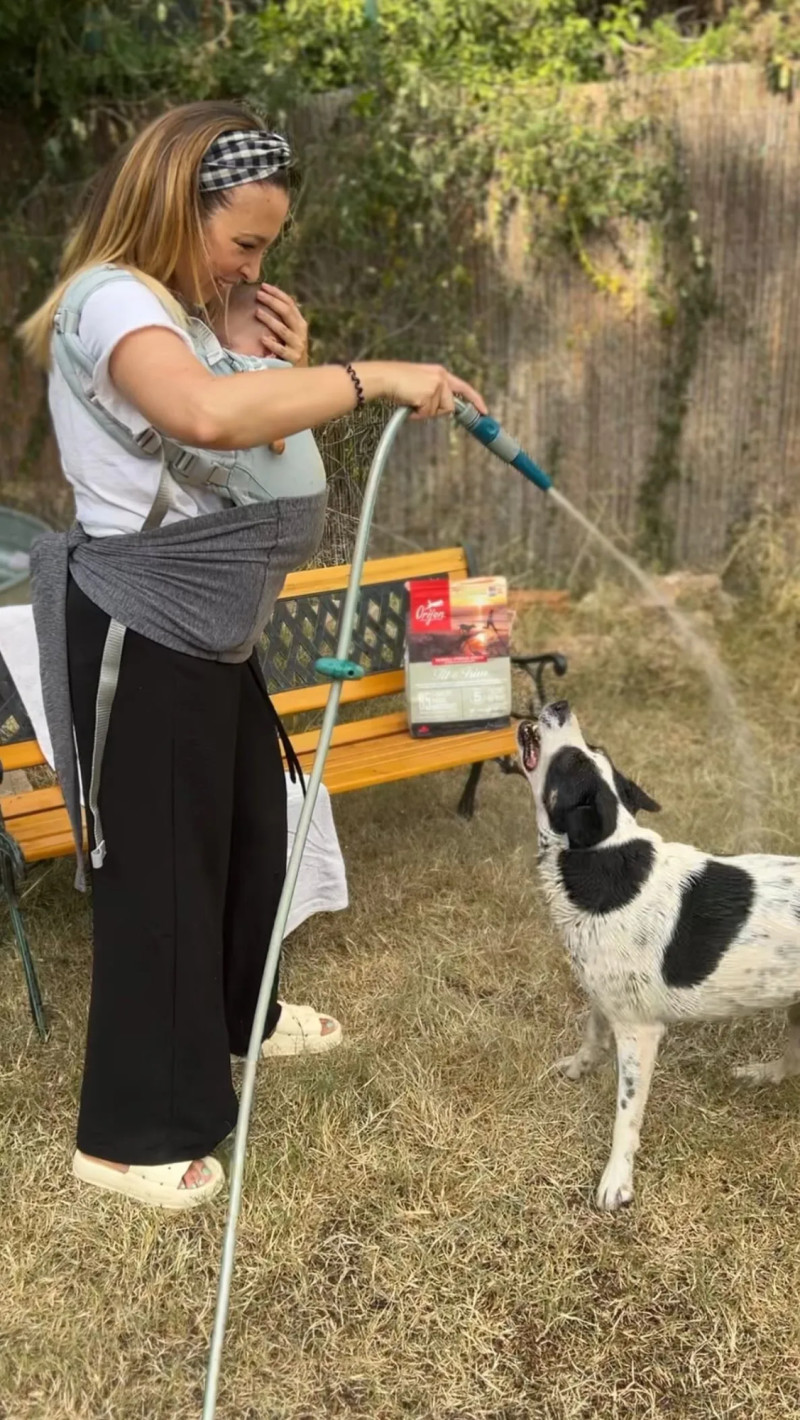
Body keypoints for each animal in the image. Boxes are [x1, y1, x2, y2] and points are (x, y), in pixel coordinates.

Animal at [520, 698, 800, 1209]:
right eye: (590, 751)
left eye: (572, 761)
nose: (559, 704)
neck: (601, 856)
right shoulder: (604, 995)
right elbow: (591, 1037)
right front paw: (577, 1068)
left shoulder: (640, 1032)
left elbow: (626, 1116)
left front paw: (617, 1180)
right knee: (791, 1062)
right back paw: (760, 1074)